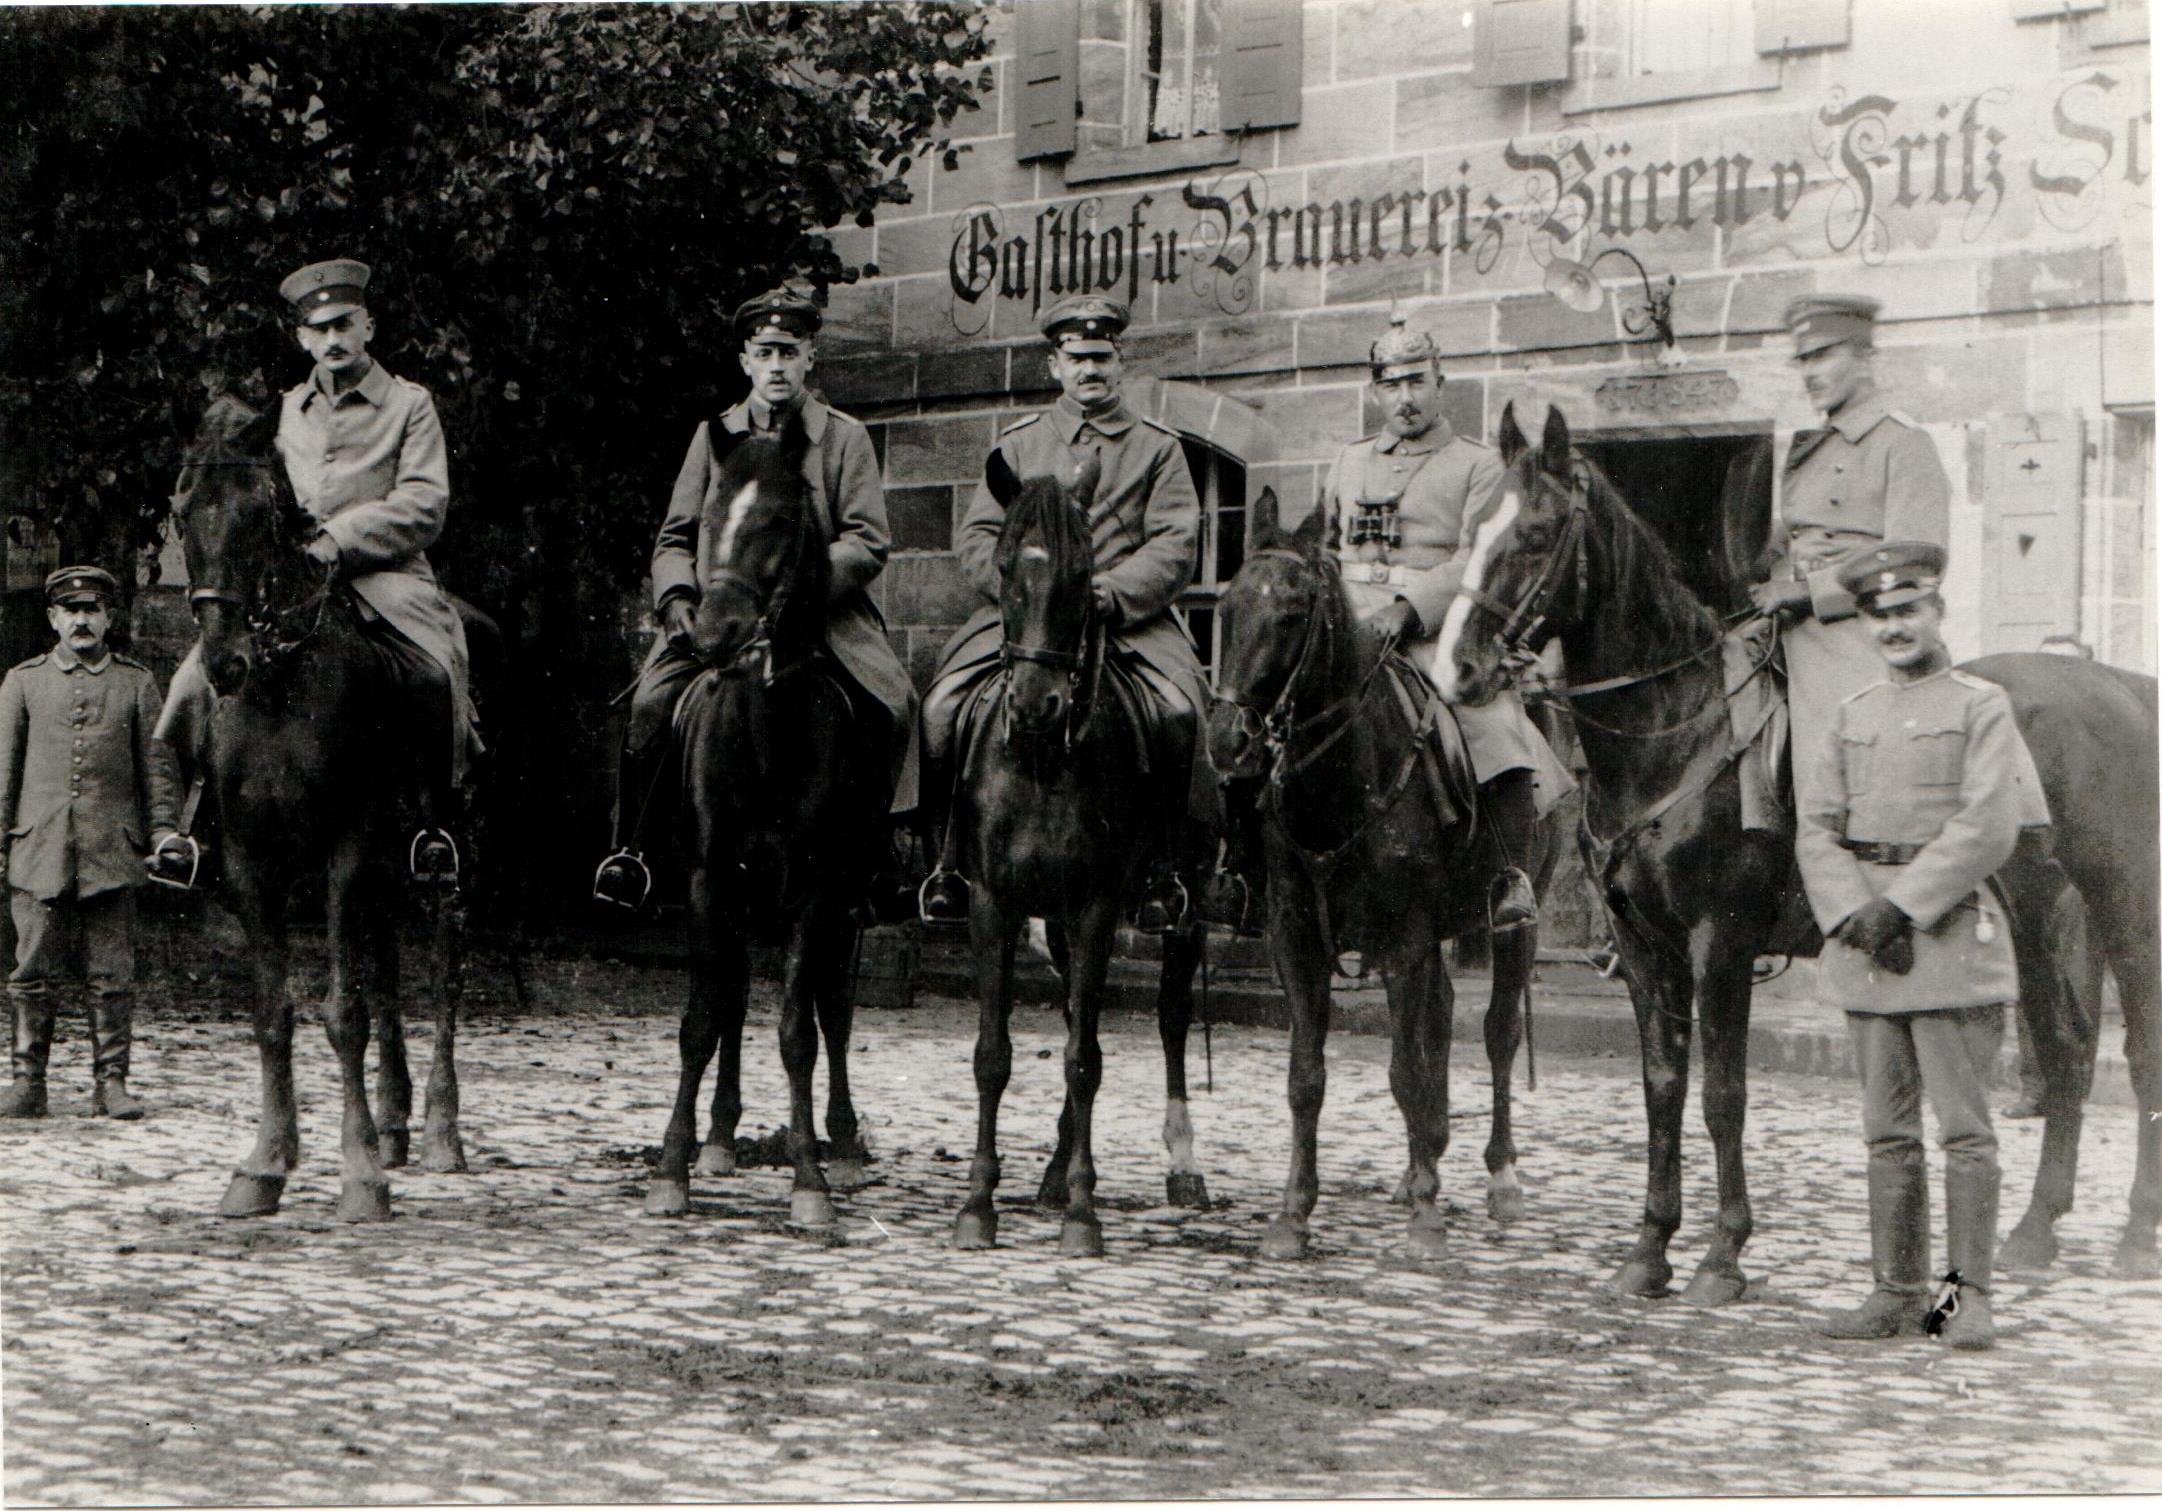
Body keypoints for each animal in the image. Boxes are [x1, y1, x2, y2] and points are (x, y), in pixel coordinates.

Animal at [172, 395, 469, 1227]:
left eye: (260, 514)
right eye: (180, 512)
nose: (223, 662)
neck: (280, 684)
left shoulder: (346, 846)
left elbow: (344, 1013)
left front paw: (360, 1173)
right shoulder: (249, 860)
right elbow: (273, 1010)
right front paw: (266, 1163)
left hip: (440, 851)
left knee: (442, 970)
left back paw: (438, 1130)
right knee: (390, 963)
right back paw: (396, 1122)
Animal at [639, 412, 877, 1227]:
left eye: (778, 518)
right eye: (710, 515)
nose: (711, 634)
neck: (768, 730)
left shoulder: (816, 892)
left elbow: (800, 1031)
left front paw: (809, 1177)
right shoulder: (709, 883)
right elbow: (702, 1020)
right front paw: (674, 1165)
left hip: (843, 906)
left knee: (832, 1009)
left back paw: (842, 1140)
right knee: (735, 999)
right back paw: (717, 1136)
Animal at [951, 456, 1210, 1262]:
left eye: (1083, 574)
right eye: (1005, 568)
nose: (1037, 706)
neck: (1042, 762)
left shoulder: (1097, 907)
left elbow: (1085, 1060)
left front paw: (1083, 1213)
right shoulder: (993, 903)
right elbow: (996, 1053)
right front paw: (978, 1202)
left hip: (1189, 905)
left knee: (1168, 1019)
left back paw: (1183, 1166)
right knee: (1074, 1012)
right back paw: (1054, 1167)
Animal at [1210, 490, 1547, 1262]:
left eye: (1292, 613)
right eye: (1227, 606)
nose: (1227, 741)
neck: (1344, 778)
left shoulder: (1404, 938)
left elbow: (1404, 1071)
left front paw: (1425, 1214)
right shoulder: (1295, 938)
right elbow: (1307, 1076)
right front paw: (1294, 1213)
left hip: (1513, 922)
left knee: (1497, 1031)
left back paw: (1501, 1177)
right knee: (1445, 1013)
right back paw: (1428, 1156)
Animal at [1435, 404, 2162, 1296]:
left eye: (1535, 533)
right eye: (1473, 525)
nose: (1458, 669)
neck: (1676, 728)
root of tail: (2120, 686)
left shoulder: (1719, 939)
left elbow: (1724, 1093)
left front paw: (1723, 1252)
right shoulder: (1644, 945)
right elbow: (1663, 1086)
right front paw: (1650, 1246)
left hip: (2124, 911)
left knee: (2138, 1056)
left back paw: (2134, 1233)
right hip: (2031, 914)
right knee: (2064, 1054)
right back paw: (2031, 1232)